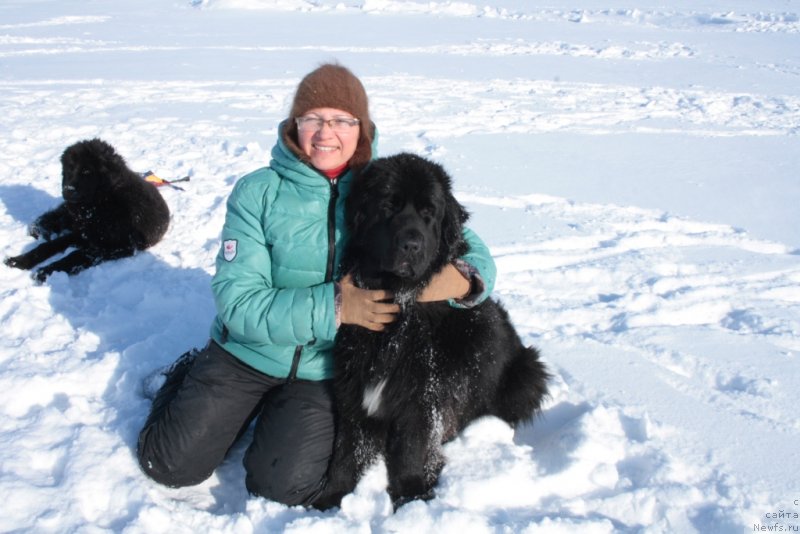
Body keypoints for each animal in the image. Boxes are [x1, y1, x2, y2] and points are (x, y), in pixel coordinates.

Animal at [4, 139, 169, 284]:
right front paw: (18, 261)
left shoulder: (113, 245)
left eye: (87, 171)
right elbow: (48, 246)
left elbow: (74, 255)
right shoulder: (82, 233)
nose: (67, 190)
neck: (101, 204)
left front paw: (46, 271)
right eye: (69, 169)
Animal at [316, 154, 552, 510]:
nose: (411, 245)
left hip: (528, 370)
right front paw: (331, 498)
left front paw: (412, 497)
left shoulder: (423, 393)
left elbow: (411, 451)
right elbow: (347, 448)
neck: (399, 305)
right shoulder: (354, 384)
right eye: (388, 205)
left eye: (429, 212)